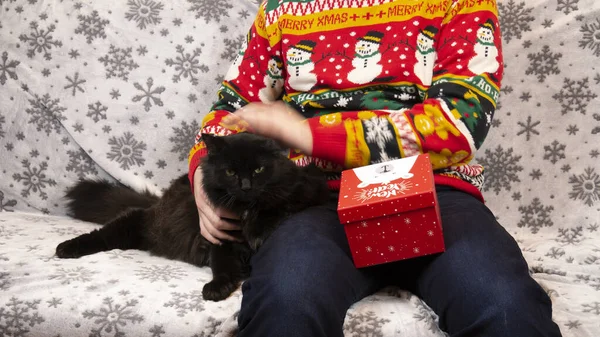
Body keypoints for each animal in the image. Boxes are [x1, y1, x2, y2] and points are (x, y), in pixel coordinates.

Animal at [55, 133, 328, 300]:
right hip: (132, 224)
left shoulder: (307, 191)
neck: (242, 209)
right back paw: (66, 248)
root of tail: (158, 203)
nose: (246, 186)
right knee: (99, 236)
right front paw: (217, 288)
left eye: (258, 169)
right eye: (230, 172)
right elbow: (223, 266)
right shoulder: (218, 238)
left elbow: (275, 206)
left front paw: (257, 232)